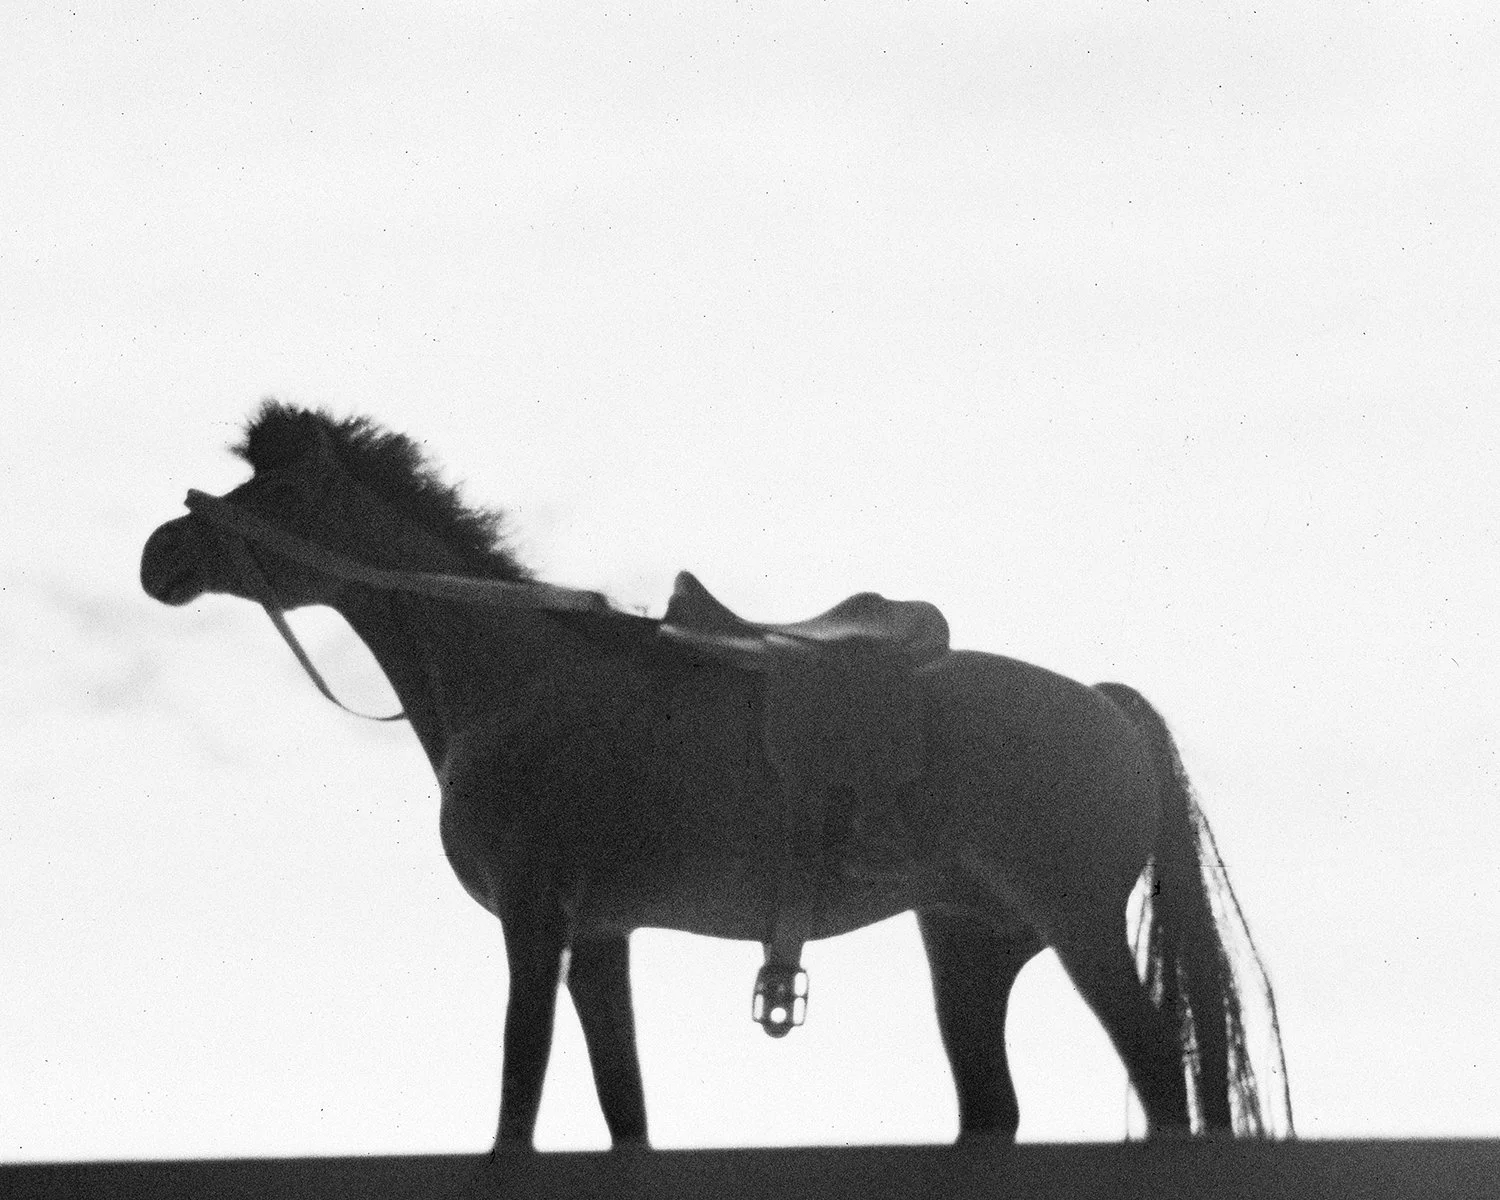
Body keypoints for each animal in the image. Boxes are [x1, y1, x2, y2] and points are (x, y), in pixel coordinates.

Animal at [140, 401, 1292, 1152]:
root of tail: (1107, 702)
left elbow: (519, 1096)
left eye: (278, 486)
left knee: (1161, 1083)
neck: (516, 677)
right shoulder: (598, 935)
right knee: (993, 1113)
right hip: (972, 943)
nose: (162, 553)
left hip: (1077, 927)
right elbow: (624, 1114)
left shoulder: (537, 920)